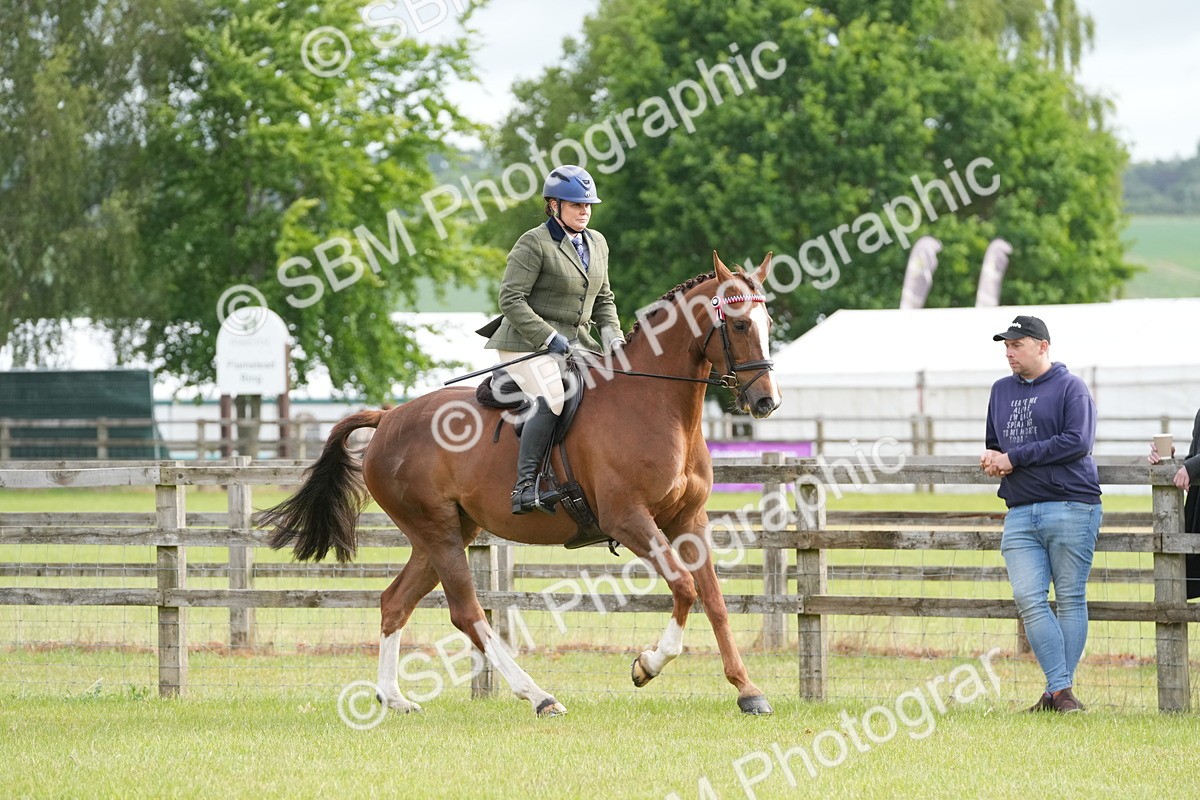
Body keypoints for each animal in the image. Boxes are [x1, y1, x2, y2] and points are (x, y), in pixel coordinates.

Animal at [258, 252, 783, 717]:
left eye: (769, 324)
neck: (653, 402)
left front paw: (748, 691)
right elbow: (684, 588)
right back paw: (539, 696)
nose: (766, 402)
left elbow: (714, 599)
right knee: (467, 613)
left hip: (446, 532)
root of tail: (387, 418)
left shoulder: (688, 519)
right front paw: (646, 665)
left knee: (395, 602)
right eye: (739, 325)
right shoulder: (629, 519)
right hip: (437, 531)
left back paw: (394, 698)